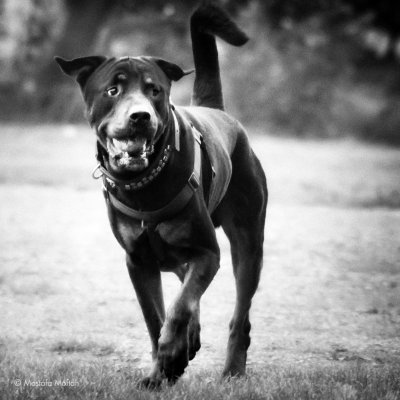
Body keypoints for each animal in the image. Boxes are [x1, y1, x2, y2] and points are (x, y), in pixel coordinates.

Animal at [54, 1, 268, 390]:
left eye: (154, 90)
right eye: (113, 90)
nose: (140, 116)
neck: (144, 184)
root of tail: (218, 112)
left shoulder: (206, 253)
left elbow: (179, 309)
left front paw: (171, 354)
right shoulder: (139, 261)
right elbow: (156, 317)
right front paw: (161, 370)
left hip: (248, 240)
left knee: (238, 313)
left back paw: (232, 369)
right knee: (187, 287)